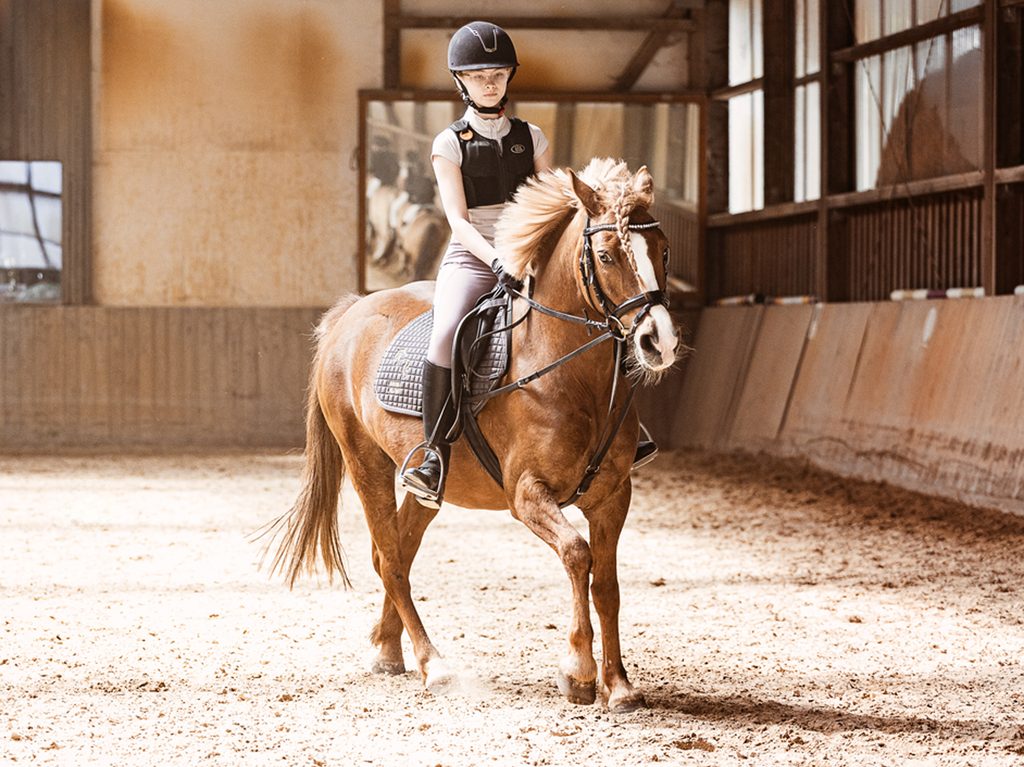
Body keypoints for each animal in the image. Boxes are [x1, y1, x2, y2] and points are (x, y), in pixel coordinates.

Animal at [267, 158, 681, 712]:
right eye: (607, 255)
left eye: (663, 249)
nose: (659, 342)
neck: (569, 373)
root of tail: (351, 312)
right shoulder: (527, 494)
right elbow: (577, 555)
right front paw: (578, 673)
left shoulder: (614, 495)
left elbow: (607, 584)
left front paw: (619, 685)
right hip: (364, 462)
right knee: (391, 560)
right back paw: (434, 665)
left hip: (425, 484)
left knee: (396, 551)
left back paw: (388, 651)